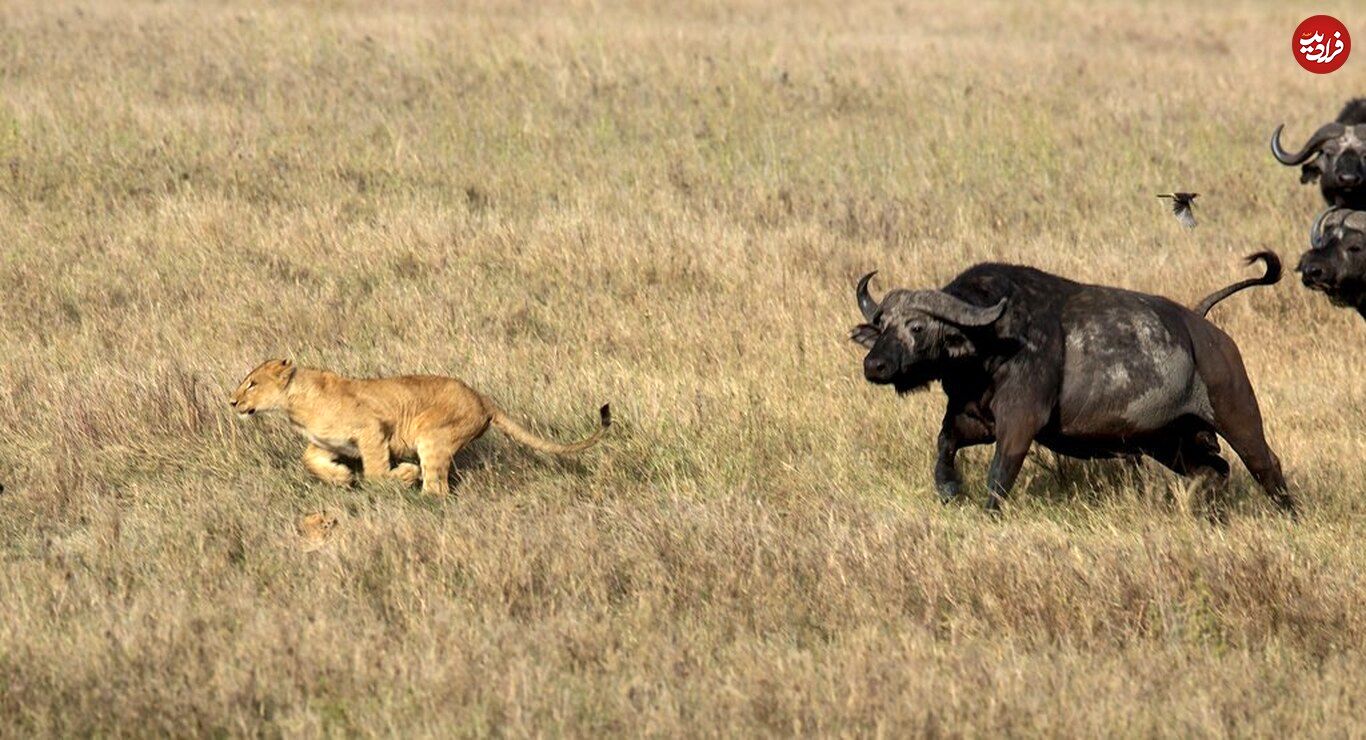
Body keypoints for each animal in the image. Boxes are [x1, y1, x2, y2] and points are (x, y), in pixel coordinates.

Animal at [229, 360, 609, 499]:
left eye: (252, 384)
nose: (232, 402)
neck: (295, 404)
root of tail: (482, 398)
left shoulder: (372, 428)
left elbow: (376, 472)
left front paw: (402, 474)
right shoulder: (326, 442)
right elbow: (309, 460)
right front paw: (341, 478)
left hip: (431, 434)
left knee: (438, 488)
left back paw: (420, 494)